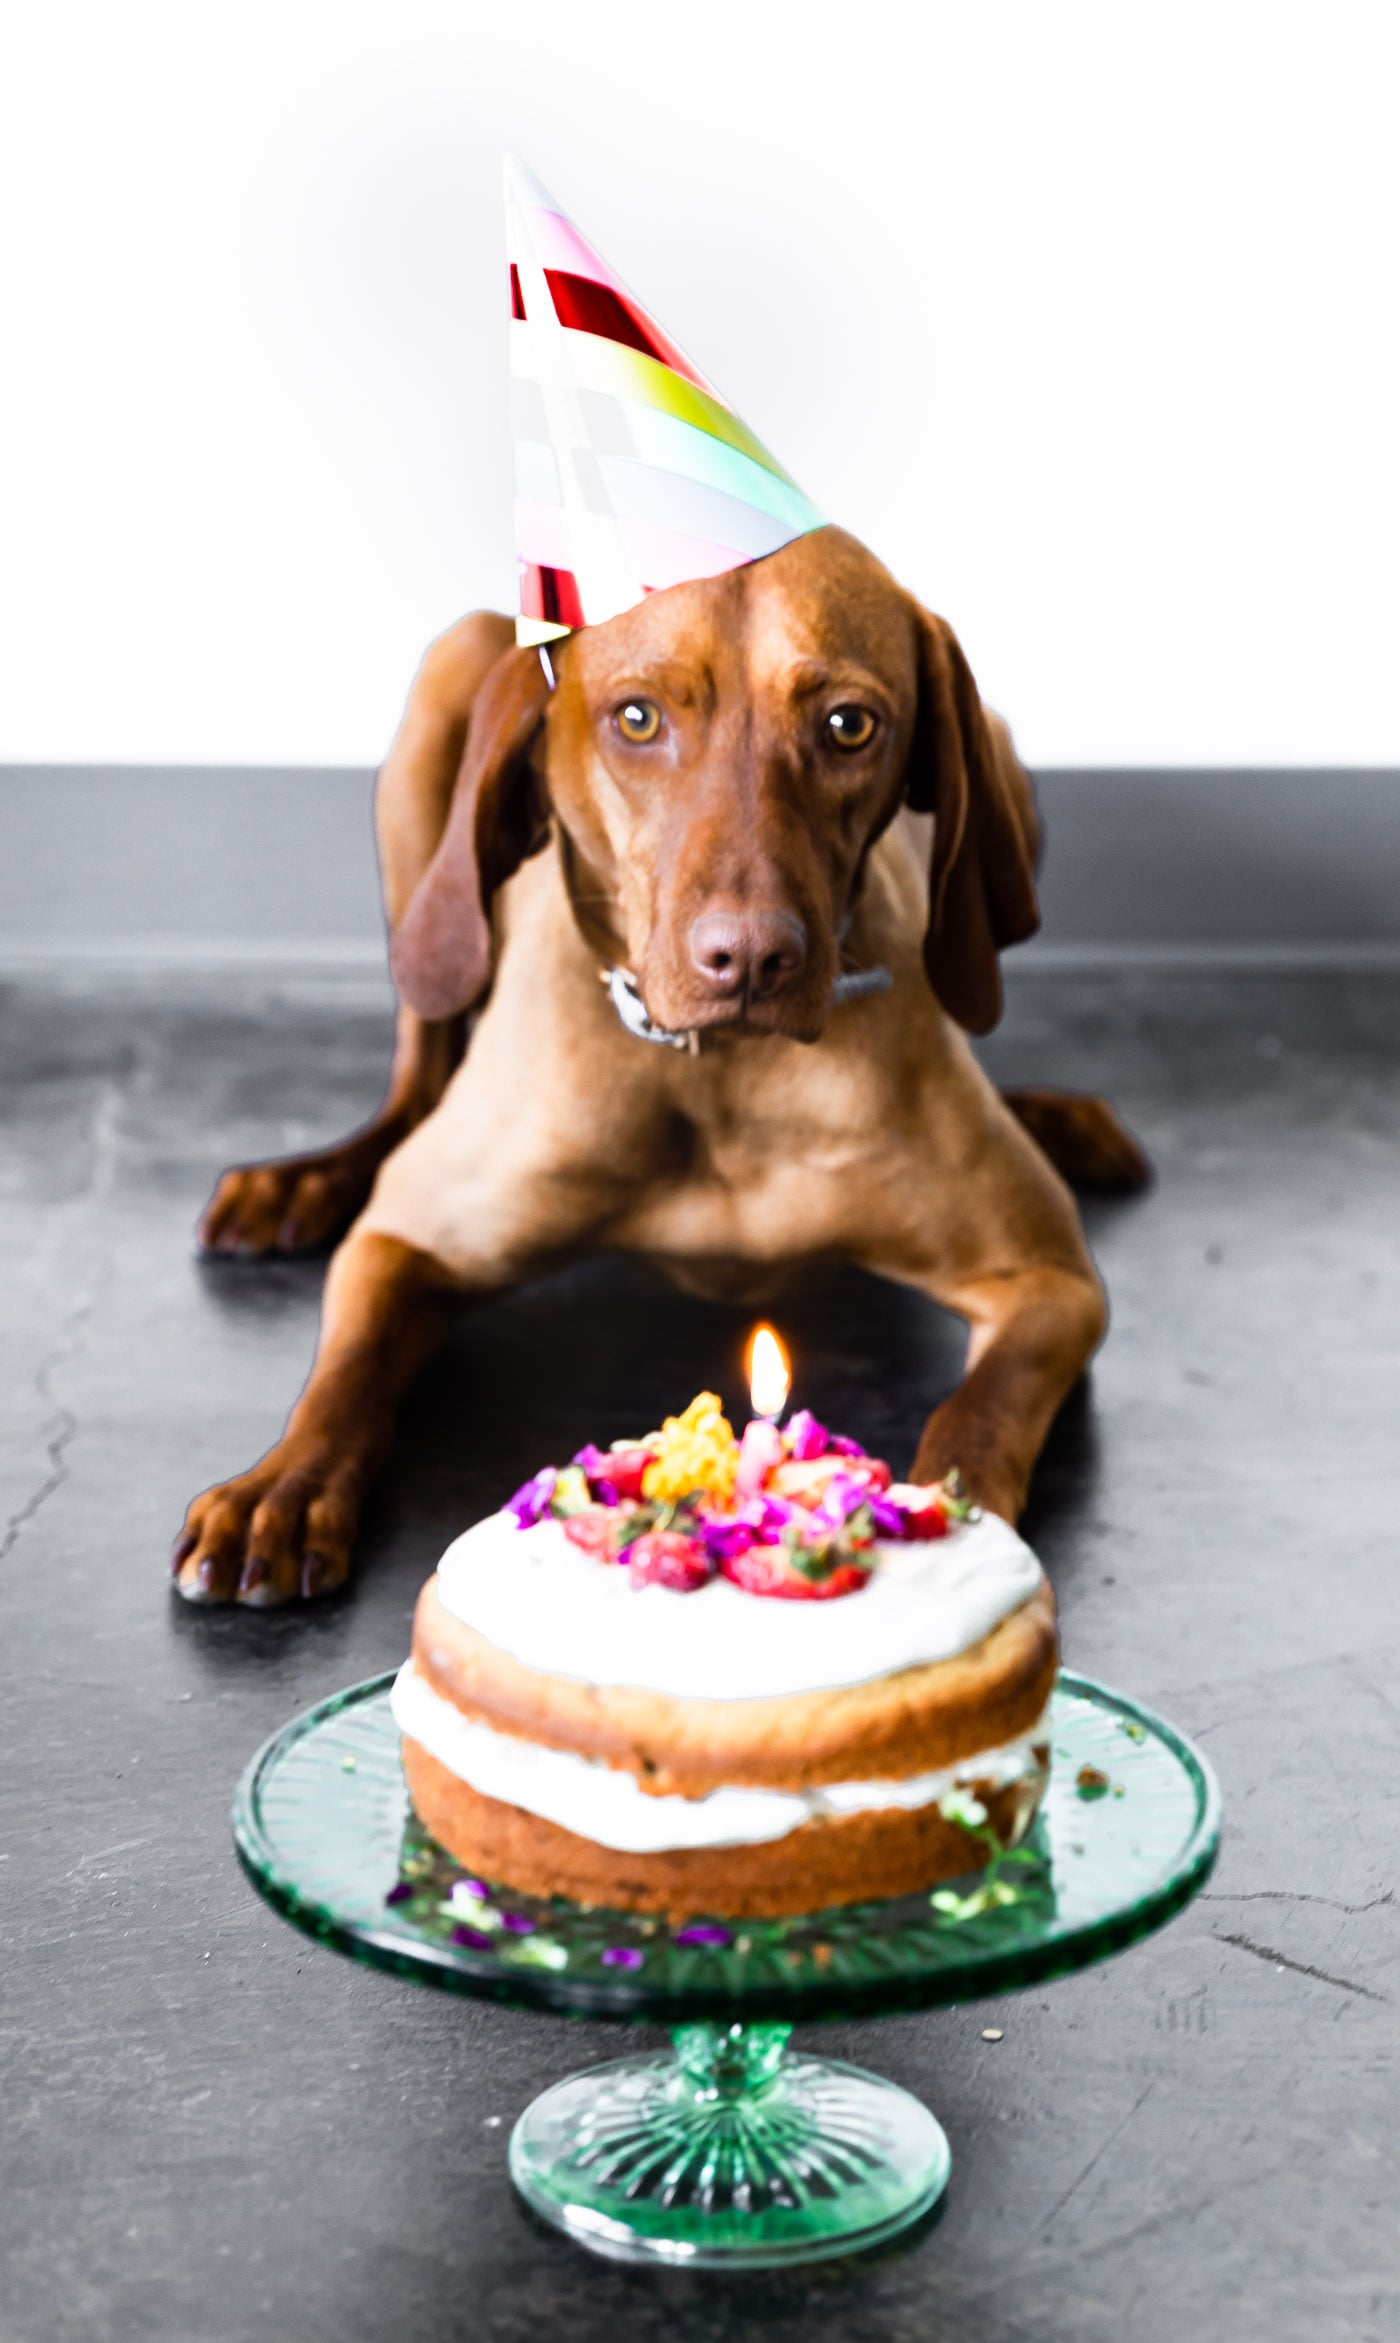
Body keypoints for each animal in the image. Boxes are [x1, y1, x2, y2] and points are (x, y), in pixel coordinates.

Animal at [175, 527, 1147, 1611]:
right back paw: (303, 1181)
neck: (715, 1071)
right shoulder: (403, 1239)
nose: (751, 959)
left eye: (850, 724)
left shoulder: (1048, 1278)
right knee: (416, 1073)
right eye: (636, 717)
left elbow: (975, 1415)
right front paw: (282, 1487)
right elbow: (345, 1374)